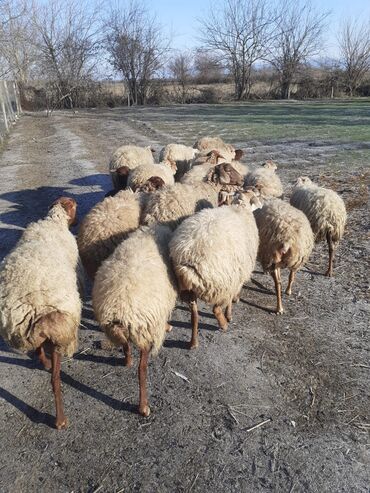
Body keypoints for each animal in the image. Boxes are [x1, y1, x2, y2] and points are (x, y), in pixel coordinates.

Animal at [0, 198, 81, 428]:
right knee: (55, 380)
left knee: (38, 349)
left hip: (26, 329)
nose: (77, 222)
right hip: (59, 339)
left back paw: (43, 362)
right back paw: (60, 420)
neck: (53, 222)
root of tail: (37, 309)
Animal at [92, 225, 177, 418]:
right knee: (141, 370)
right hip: (145, 332)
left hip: (121, 330)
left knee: (126, 346)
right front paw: (167, 326)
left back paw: (127, 361)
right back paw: (143, 407)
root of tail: (119, 311)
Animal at [169, 190, 262, 348]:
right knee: (216, 309)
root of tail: (188, 254)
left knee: (194, 315)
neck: (240, 208)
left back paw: (193, 343)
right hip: (220, 283)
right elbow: (233, 297)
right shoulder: (236, 276)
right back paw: (224, 324)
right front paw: (231, 312)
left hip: (190, 290)